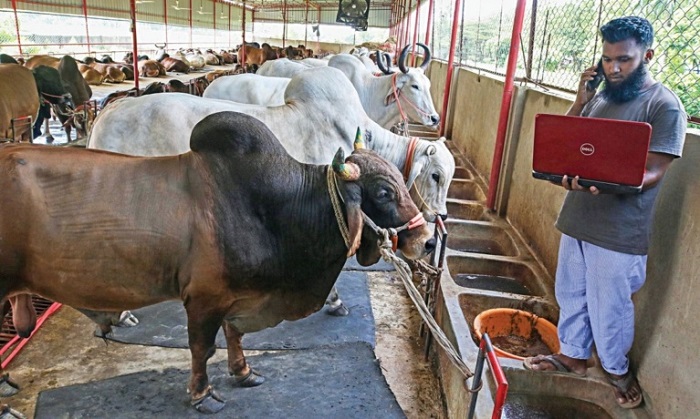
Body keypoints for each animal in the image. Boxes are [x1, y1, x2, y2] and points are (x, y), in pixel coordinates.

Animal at [0, 111, 434, 413]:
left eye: (402, 180)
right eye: (383, 191)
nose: (428, 240)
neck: (276, 207)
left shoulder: (237, 297)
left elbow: (235, 334)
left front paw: (244, 373)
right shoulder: (204, 299)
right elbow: (201, 348)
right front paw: (201, 395)